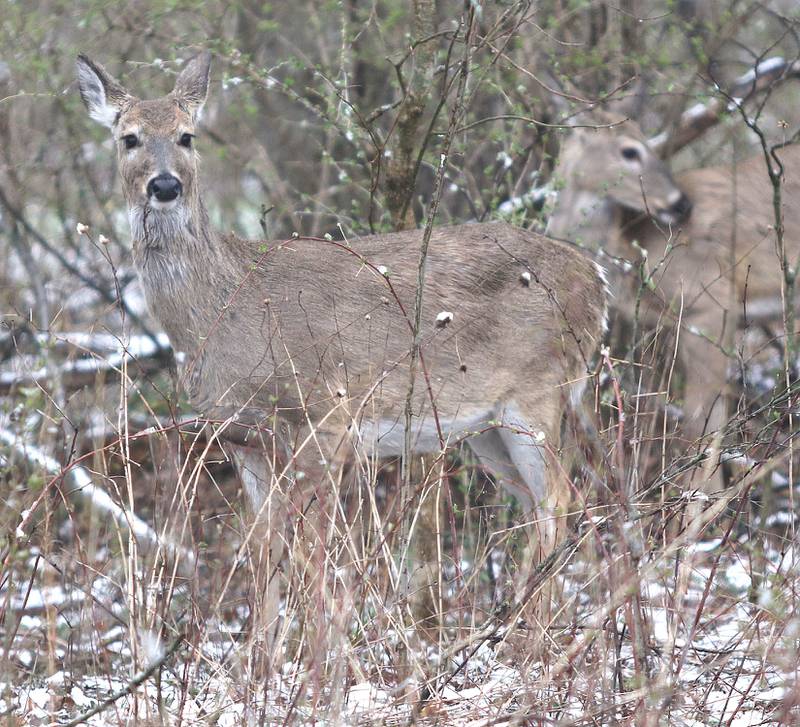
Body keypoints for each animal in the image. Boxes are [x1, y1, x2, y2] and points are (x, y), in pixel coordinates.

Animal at [76, 52, 607, 671]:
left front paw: (330, 664)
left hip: (537, 392)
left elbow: (313, 554)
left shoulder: (323, 418)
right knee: (543, 506)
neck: (223, 307)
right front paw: (258, 668)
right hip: (487, 427)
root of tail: (597, 279)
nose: (164, 184)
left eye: (187, 135)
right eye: (129, 137)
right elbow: (266, 549)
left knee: (560, 501)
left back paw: (525, 644)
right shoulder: (244, 440)